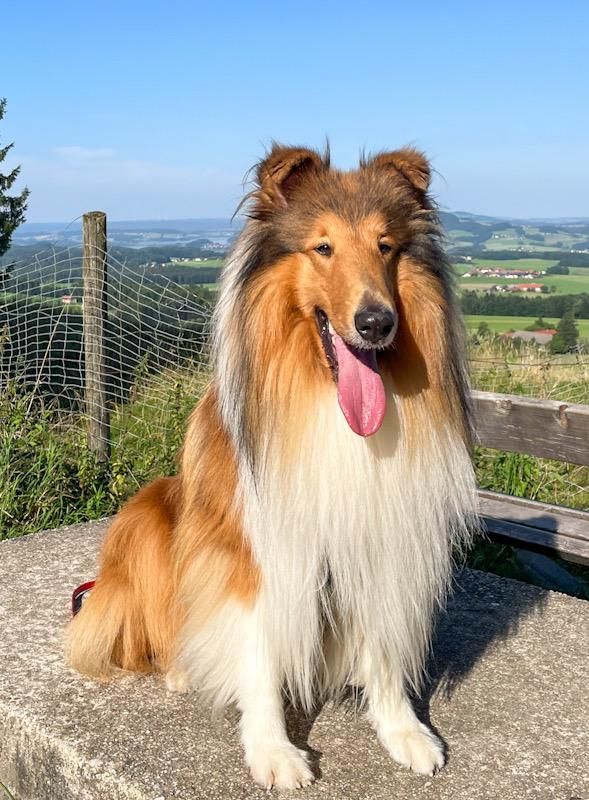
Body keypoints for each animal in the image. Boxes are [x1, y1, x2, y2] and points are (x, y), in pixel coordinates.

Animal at [66, 144, 477, 789]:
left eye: (386, 246)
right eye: (323, 247)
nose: (376, 322)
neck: (329, 401)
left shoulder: (381, 536)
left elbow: (384, 652)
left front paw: (403, 731)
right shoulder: (255, 548)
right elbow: (257, 654)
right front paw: (273, 749)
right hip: (152, 517)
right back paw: (184, 667)